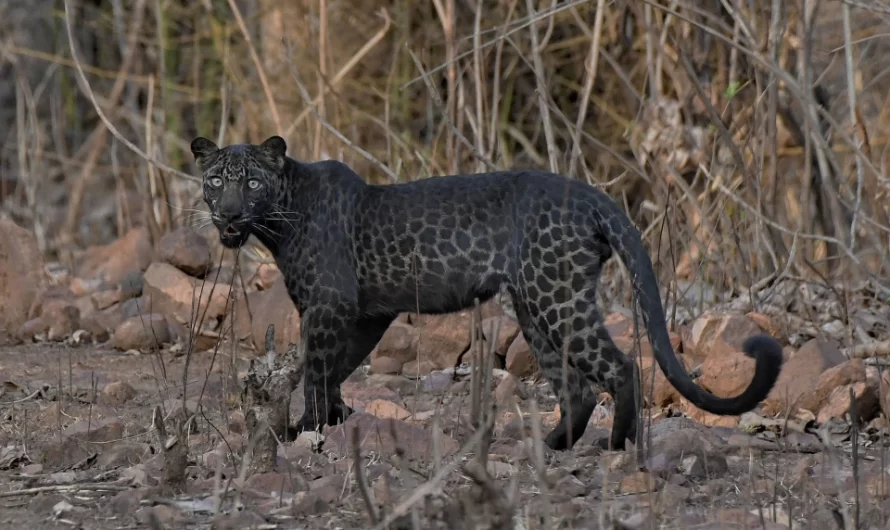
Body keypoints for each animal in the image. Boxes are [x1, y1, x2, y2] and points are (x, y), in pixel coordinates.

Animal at [191, 134, 780, 448]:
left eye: (252, 182)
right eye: (216, 180)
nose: (229, 214)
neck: (279, 219)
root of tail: (593, 195)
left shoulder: (329, 306)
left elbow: (316, 369)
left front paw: (306, 428)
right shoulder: (366, 313)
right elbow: (336, 368)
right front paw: (334, 420)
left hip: (556, 299)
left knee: (620, 366)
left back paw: (618, 445)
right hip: (536, 307)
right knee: (577, 388)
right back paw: (551, 446)